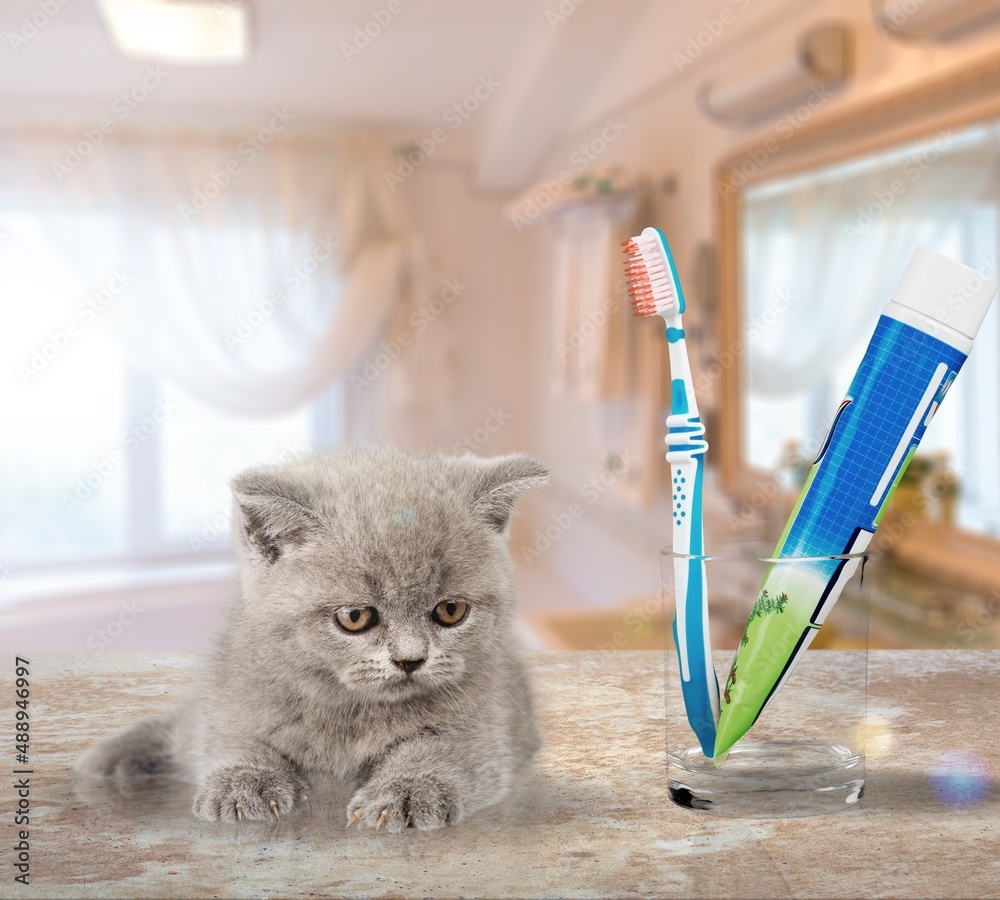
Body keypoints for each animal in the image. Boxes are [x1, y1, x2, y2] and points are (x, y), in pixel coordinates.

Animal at [77, 446, 548, 832]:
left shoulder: (487, 725)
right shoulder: (233, 692)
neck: (351, 710)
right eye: (355, 617)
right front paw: (243, 785)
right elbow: (232, 740)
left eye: (450, 611)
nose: (411, 660)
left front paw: (405, 793)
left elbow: (442, 753)